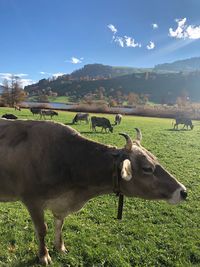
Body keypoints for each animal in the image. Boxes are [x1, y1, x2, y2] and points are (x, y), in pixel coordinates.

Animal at [0, 121, 187, 266]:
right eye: (147, 168)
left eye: (156, 159)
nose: (183, 191)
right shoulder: (33, 201)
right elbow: (42, 230)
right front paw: (44, 256)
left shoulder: (61, 204)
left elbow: (60, 225)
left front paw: (60, 247)